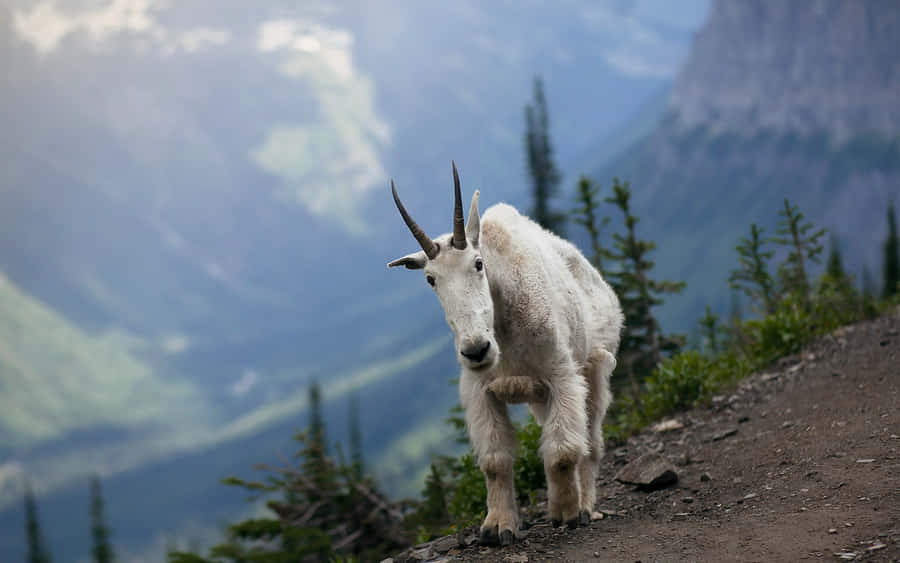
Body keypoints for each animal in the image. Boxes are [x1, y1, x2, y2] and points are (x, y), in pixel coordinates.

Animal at [388, 163, 622, 545]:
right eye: (430, 279)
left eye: (478, 263)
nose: (475, 350)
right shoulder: (481, 391)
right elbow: (495, 461)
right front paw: (497, 527)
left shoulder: (562, 376)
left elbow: (562, 452)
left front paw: (566, 512)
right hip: (540, 398)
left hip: (596, 368)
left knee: (591, 440)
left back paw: (586, 505)